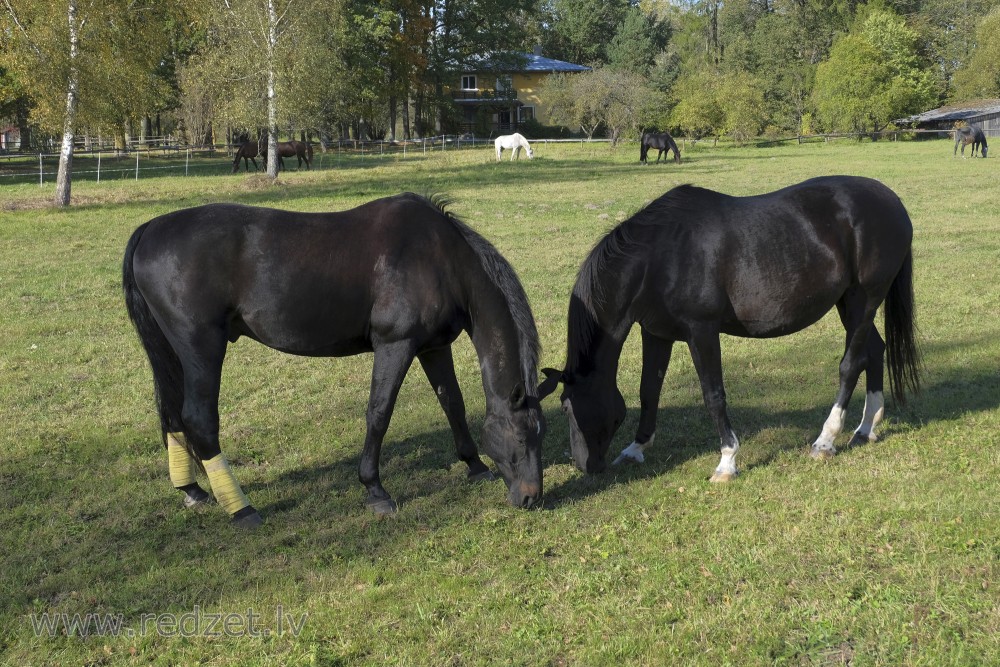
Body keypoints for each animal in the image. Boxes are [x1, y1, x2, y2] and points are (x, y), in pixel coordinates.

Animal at [127, 192, 548, 528]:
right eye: (521, 436)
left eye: (539, 434)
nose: (531, 498)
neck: (439, 256)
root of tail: (150, 228)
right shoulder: (396, 345)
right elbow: (379, 413)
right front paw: (375, 490)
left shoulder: (433, 348)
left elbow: (453, 404)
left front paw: (474, 466)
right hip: (202, 347)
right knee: (199, 420)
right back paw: (242, 509)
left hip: (174, 352)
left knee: (173, 415)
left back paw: (193, 490)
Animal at [540, 175, 920, 482]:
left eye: (566, 408)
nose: (585, 466)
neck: (659, 257)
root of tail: (893, 202)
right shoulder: (656, 333)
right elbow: (649, 390)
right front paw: (636, 449)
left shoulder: (702, 332)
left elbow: (714, 395)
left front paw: (727, 462)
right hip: (850, 306)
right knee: (875, 351)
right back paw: (866, 429)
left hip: (863, 300)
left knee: (851, 365)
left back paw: (826, 441)